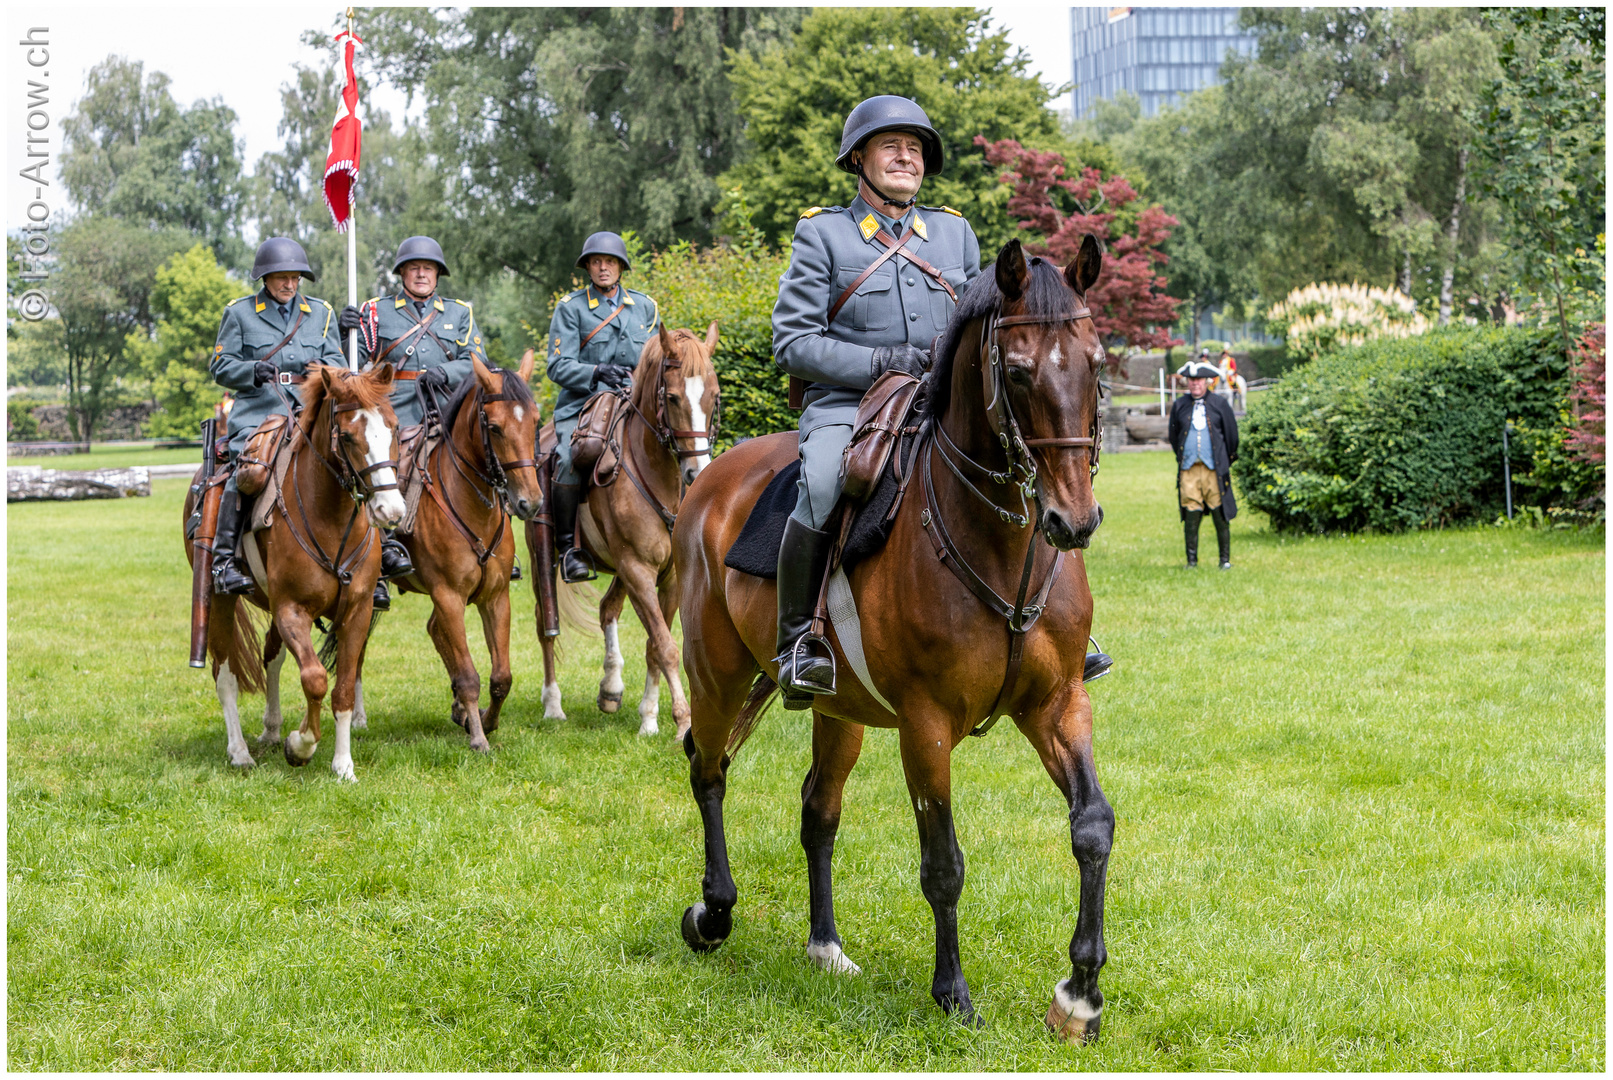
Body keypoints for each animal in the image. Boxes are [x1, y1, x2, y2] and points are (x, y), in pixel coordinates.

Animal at [183, 367, 406, 783]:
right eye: (347, 436)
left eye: (395, 428)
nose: (392, 510)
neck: (330, 519)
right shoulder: (291, 610)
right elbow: (314, 678)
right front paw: (301, 745)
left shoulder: (357, 612)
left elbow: (343, 689)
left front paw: (343, 765)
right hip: (221, 602)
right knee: (225, 675)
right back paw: (240, 752)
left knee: (271, 656)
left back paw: (271, 728)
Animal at [393, 354, 545, 754]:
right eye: (494, 427)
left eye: (536, 421)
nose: (530, 502)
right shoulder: (449, 596)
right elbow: (468, 675)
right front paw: (478, 737)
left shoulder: (496, 597)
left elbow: (502, 675)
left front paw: (486, 721)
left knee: (434, 630)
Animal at [529, 325, 719, 741]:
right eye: (672, 396)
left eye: (714, 396)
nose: (697, 473)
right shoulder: (638, 570)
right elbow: (665, 646)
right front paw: (682, 721)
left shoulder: (668, 576)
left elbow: (653, 645)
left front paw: (650, 716)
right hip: (544, 560)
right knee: (544, 624)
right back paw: (552, 703)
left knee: (607, 609)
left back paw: (611, 688)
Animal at [674, 241, 1116, 1044]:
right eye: (1017, 371)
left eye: (1095, 363)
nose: (1072, 520)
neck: (998, 542)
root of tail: (711, 477)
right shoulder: (925, 725)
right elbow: (942, 862)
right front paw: (953, 994)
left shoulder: (1059, 704)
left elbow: (1092, 826)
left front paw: (1080, 995)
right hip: (715, 675)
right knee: (709, 768)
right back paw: (714, 912)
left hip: (837, 711)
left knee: (818, 809)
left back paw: (825, 946)